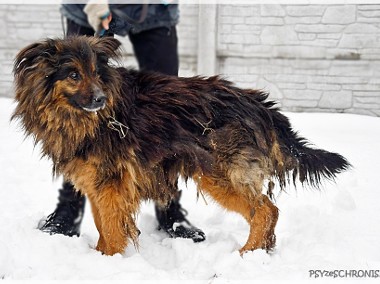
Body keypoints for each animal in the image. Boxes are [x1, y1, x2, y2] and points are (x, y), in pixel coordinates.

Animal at [12, 35, 350, 255]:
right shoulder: (99, 184)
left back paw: (247, 253)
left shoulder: (111, 185)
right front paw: (101, 258)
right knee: (269, 211)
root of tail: (261, 106)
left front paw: (110, 262)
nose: (100, 99)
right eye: (73, 74)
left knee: (266, 211)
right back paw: (262, 251)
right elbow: (103, 227)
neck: (87, 119)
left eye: (97, 73)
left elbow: (111, 229)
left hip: (219, 176)